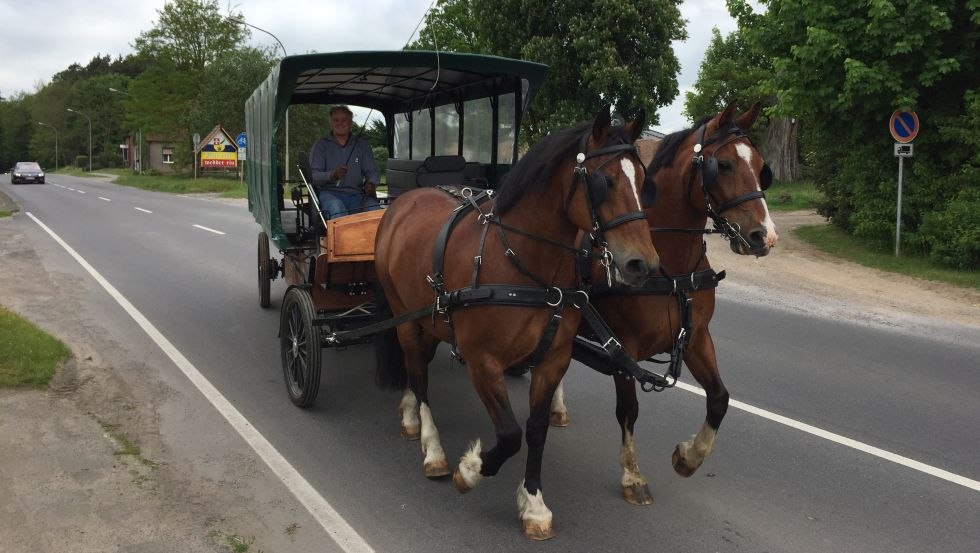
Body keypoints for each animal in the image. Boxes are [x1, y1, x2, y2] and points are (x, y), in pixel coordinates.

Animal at [374, 108, 660, 540]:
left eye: (644, 182)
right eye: (603, 181)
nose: (642, 264)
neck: (520, 264)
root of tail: (403, 201)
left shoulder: (553, 359)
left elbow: (536, 430)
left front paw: (534, 504)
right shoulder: (482, 361)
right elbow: (509, 435)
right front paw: (470, 470)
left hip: (432, 319)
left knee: (417, 364)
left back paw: (410, 414)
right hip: (403, 316)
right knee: (419, 374)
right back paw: (433, 447)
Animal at [548, 103, 776, 504]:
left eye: (762, 166)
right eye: (724, 165)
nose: (765, 236)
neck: (671, 270)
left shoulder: (696, 338)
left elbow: (719, 398)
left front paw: (689, 457)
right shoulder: (622, 348)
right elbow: (629, 410)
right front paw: (632, 475)